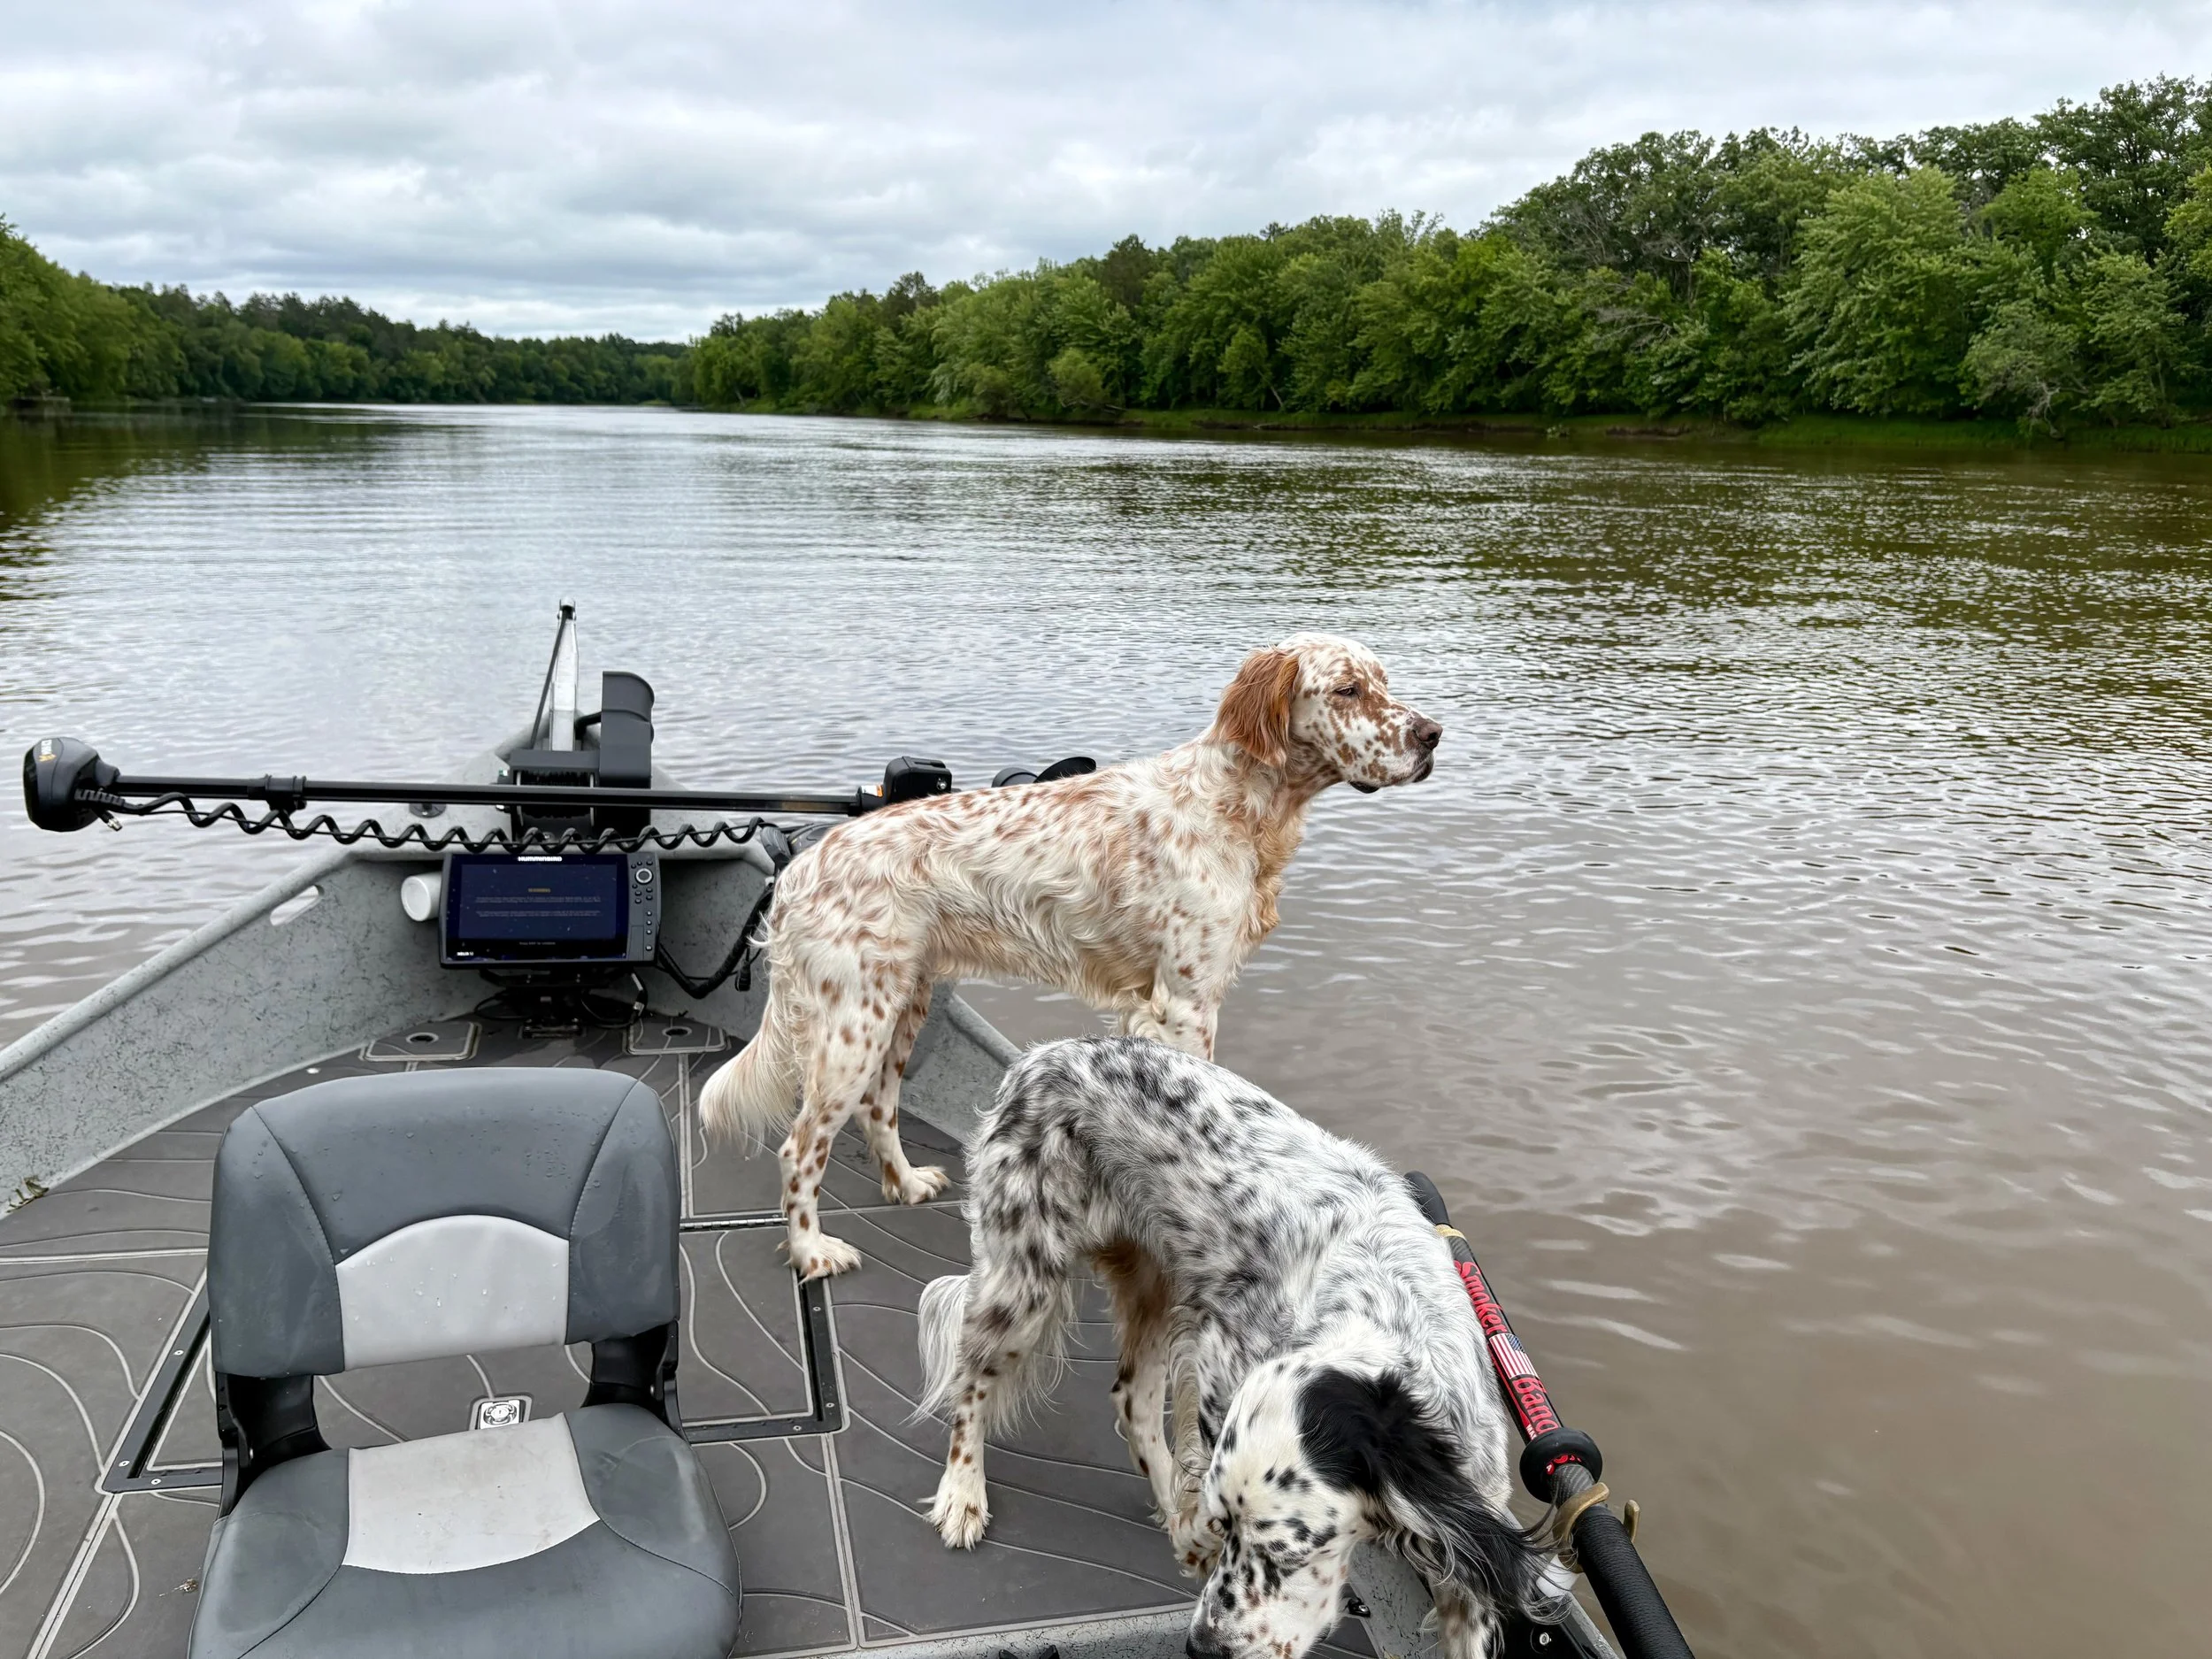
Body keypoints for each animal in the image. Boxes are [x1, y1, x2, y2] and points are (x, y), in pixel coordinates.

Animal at [699, 634, 1442, 1279]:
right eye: (1347, 689)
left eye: (1382, 681)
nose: (1434, 734)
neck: (1235, 805)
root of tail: (802, 867)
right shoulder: (1187, 1004)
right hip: (851, 1026)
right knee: (801, 1146)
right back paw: (811, 1250)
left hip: (901, 1006)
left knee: (877, 1109)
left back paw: (906, 1183)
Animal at [917, 1037, 1558, 1659]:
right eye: (1232, 1529)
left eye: (1287, 1555)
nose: (1202, 1647)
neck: (1379, 1318)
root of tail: (1040, 1056)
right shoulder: (1220, 1377)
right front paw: (1194, 1543)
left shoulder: (1470, 1519)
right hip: (1022, 1281)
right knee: (970, 1383)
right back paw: (962, 1494)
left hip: (1149, 1282)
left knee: (1132, 1399)